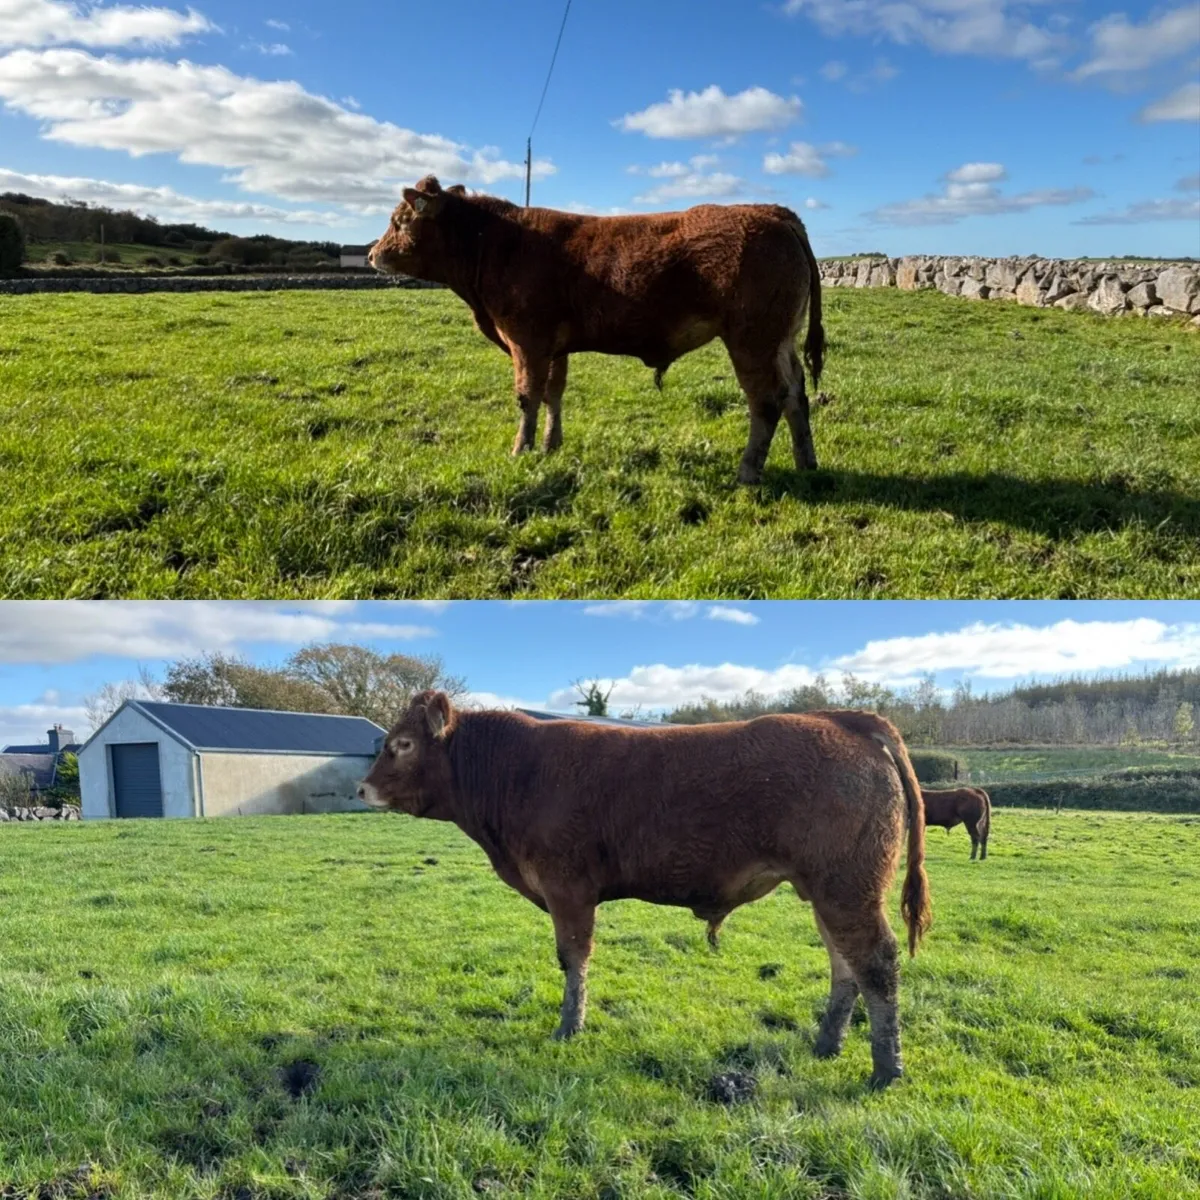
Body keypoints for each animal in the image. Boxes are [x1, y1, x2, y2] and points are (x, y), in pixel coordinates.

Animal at [358, 693, 932, 1089]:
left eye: (402, 745)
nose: (362, 789)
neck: (517, 774)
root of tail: (840, 718)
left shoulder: (567, 887)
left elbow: (573, 958)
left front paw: (569, 1028)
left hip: (848, 888)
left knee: (876, 963)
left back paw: (887, 1070)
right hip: (829, 891)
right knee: (844, 966)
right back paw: (827, 1046)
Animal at [368, 177, 826, 485]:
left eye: (398, 220)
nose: (372, 254)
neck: (497, 244)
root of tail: (770, 211)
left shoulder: (527, 339)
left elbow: (527, 396)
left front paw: (520, 450)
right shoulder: (554, 347)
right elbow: (553, 393)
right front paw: (550, 445)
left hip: (752, 340)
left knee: (766, 401)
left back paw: (747, 472)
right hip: (781, 340)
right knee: (795, 394)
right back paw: (806, 462)